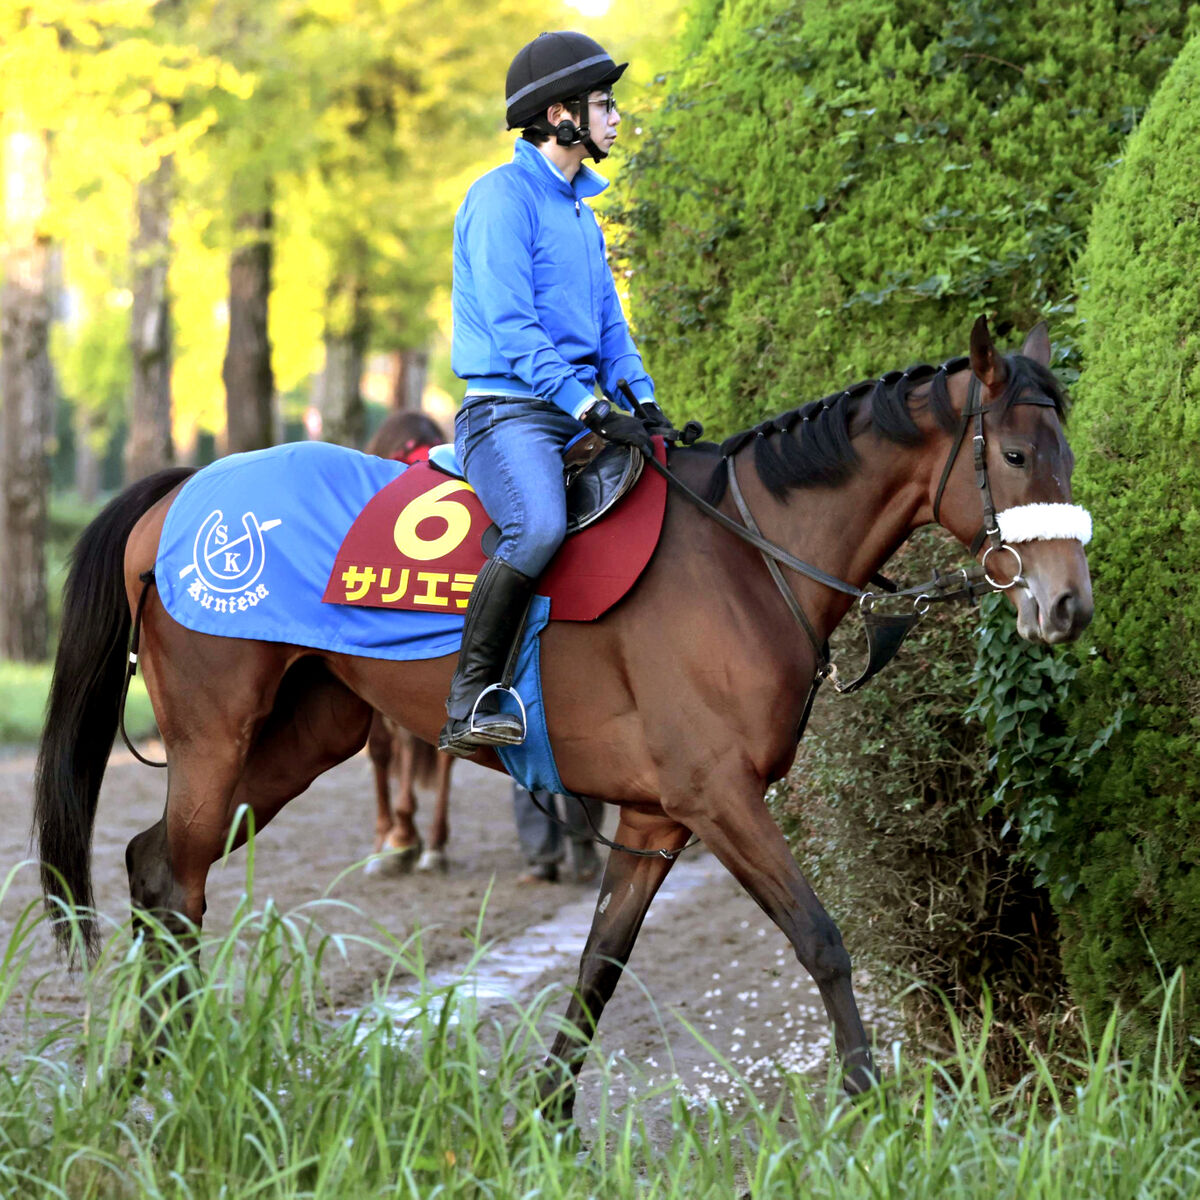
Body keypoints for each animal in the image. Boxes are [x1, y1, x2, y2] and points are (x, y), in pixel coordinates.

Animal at [37, 319, 1094, 1113]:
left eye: (1066, 453)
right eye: (1012, 454)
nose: (1067, 605)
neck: (746, 558)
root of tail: (182, 491)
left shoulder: (658, 817)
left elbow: (599, 966)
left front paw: (545, 1119)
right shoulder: (720, 798)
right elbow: (821, 940)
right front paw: (872, 1103)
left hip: (309, 732)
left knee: (154, 865)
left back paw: (152, 1070)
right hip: (216, 733)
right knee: (175, 878)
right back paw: (170, 1078)